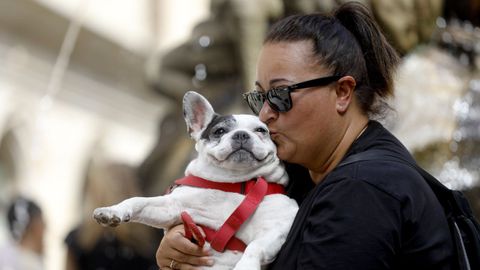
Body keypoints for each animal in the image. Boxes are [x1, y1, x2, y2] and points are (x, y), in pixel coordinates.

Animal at [92, 91, 298, 270]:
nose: (241, 134)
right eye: (219, 131)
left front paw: (246, 266)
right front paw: (113, 211)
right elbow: (137, 201)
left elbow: (255, 247)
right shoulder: (171, 207)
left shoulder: (277, 229)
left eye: (261, 130)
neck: (236, 183)